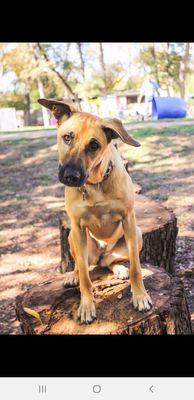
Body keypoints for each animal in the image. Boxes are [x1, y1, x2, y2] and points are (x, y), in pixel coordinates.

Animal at [38, 98, 153, 324]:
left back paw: (119, 268)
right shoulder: (77, 227)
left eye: (94, 145)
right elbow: (85, 276)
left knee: (111, 261)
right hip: (73, 238)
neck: (95, 183)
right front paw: (86, 306)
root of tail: (101, 254)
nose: (71, 176)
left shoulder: (129, 219)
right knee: (81, 264)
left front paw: (140, 296)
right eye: (67, 137)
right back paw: (73, 275)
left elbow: (136, 268)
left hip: (136, 234)